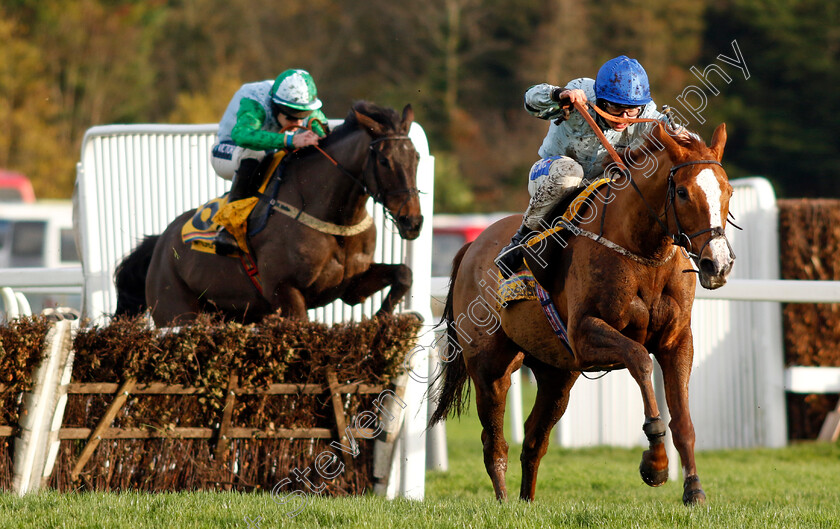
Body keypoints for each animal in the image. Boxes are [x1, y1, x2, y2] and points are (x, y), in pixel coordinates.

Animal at [115, 100, 424, 324]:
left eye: (417, 157)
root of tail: (160, 242)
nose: (413, 221)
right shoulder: (284, 291)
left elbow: (404, 274)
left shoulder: (350, 287)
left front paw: (382, 318)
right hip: (176, 311)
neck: (334, 219)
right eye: (384, 160)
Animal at [434, 119, 736, 504]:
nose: (718, 264)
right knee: (494, 443)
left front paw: (694, 490)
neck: (643, 253)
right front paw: (655, 463)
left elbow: (683, 420)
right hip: (490, 368)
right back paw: (503, 502)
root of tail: (472, 246)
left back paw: (526, 502)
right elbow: (639, 358)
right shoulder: (585, 334)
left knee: (534, 440)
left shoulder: (677, 340)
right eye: (682, 192)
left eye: (728, 191)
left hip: (556, 374)